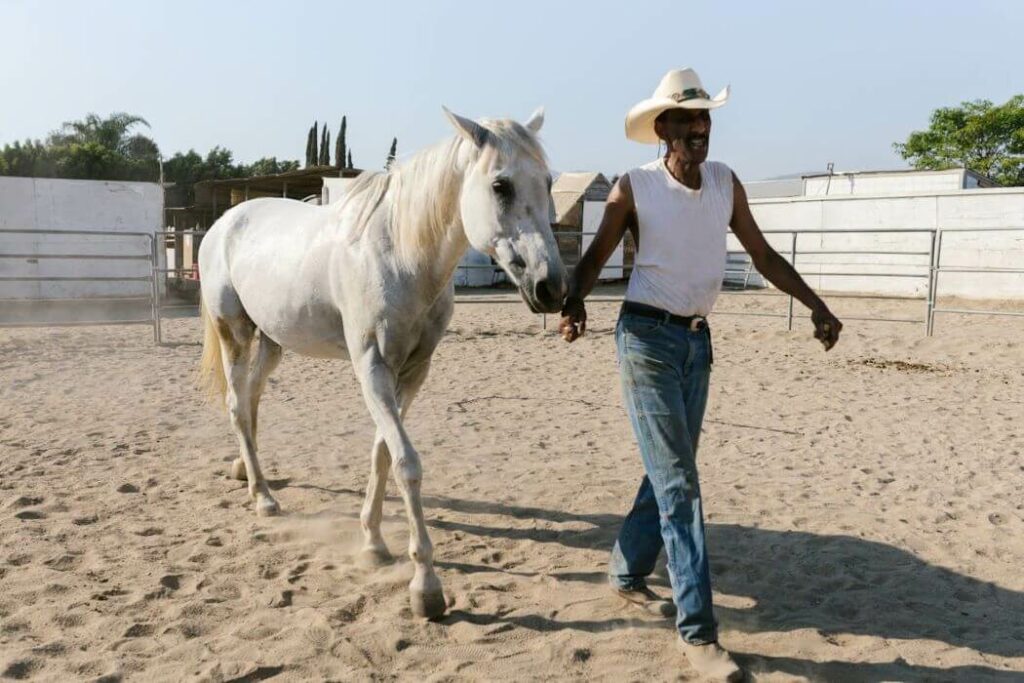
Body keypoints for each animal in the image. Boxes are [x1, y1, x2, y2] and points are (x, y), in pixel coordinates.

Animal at [197, 108, 569, 618]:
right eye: (501, 185)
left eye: (548, 181)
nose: (551, 287)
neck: (401, 255)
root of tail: (224, 221)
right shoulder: (372, 368)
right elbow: (407, 463)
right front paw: (425, 585)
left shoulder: (411, 373)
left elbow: (382, 454)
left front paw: (373, 542)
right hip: (233, 332)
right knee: (237, 406)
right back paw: (264, 498)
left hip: (272, 342)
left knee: (250, 402)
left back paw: (247, 472)